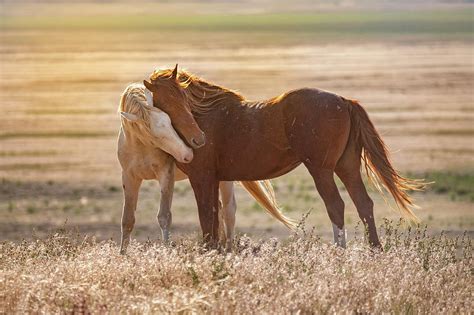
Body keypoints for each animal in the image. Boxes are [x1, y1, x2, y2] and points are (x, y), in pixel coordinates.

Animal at [117, 84, 294, 254]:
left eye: (170, 122)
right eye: (155, 135)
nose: (188, 154)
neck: (141, 146)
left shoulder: (166, 176)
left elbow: (164, 216)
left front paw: (166, 251)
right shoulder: (130, 178)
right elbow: (127, 219)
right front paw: (123, 254)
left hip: (224, 179)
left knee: (229, 211)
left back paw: (229, 251)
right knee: (220, 209)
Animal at [143, 65, 424, 248]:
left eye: (183, 97)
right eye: (166, 101)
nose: (197, 139)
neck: (206, 116)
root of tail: (344, 101)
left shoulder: (202, 179)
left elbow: (207, 220)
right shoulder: (215, 180)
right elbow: (215, 220)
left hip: (321, 170)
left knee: (336, 206)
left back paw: (339, 254)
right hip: (347, 167)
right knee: (364, 204)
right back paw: (375, 251)